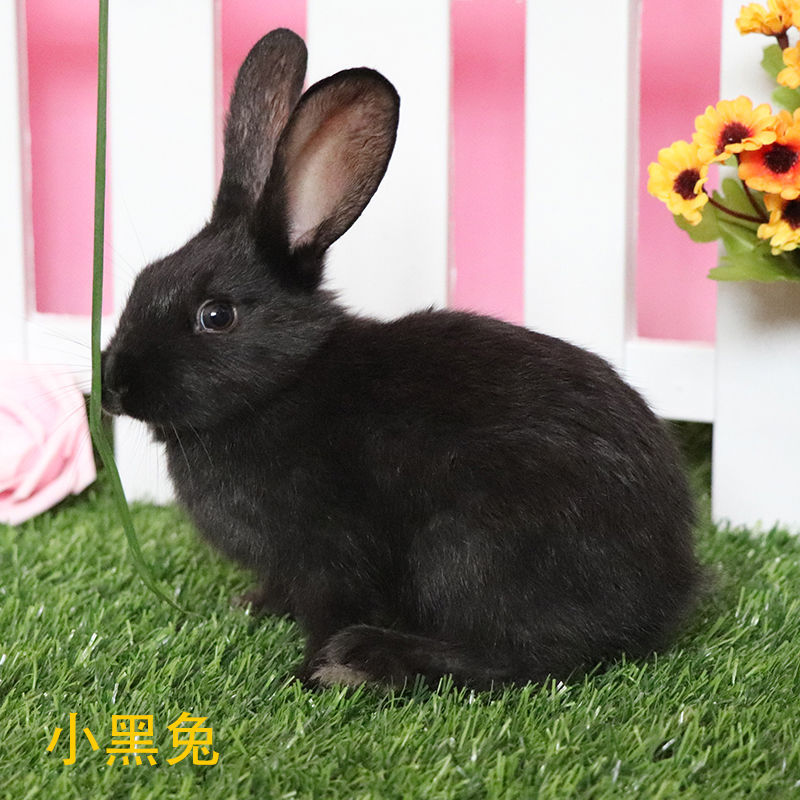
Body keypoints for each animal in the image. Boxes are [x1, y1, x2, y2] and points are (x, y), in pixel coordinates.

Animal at [101, 28, 700, 690]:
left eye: (215, 316)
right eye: (142, 282)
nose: (113, 385)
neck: (282, 383)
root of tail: (667, 586)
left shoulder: (331, 552)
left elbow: (329, 608)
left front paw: (307, 673)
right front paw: (252, 606)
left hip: (467, 549)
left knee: (520, 655)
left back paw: (367, 660)